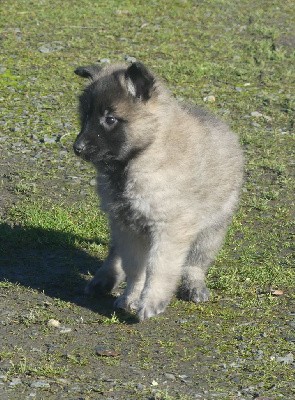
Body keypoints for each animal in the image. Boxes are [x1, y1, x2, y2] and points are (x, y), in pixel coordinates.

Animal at [73, 61, 244, 320]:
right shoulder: (128, 227)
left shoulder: (169, 229)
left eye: (110, 119)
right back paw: (104, 279)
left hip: (213, 225)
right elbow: (135, 268)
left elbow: (159, 267)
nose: (77, 147)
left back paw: (194, 285)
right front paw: (131, 297)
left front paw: (151, 301)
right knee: (115, 253)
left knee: (196, 261)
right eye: (85, 116)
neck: (145, 154)